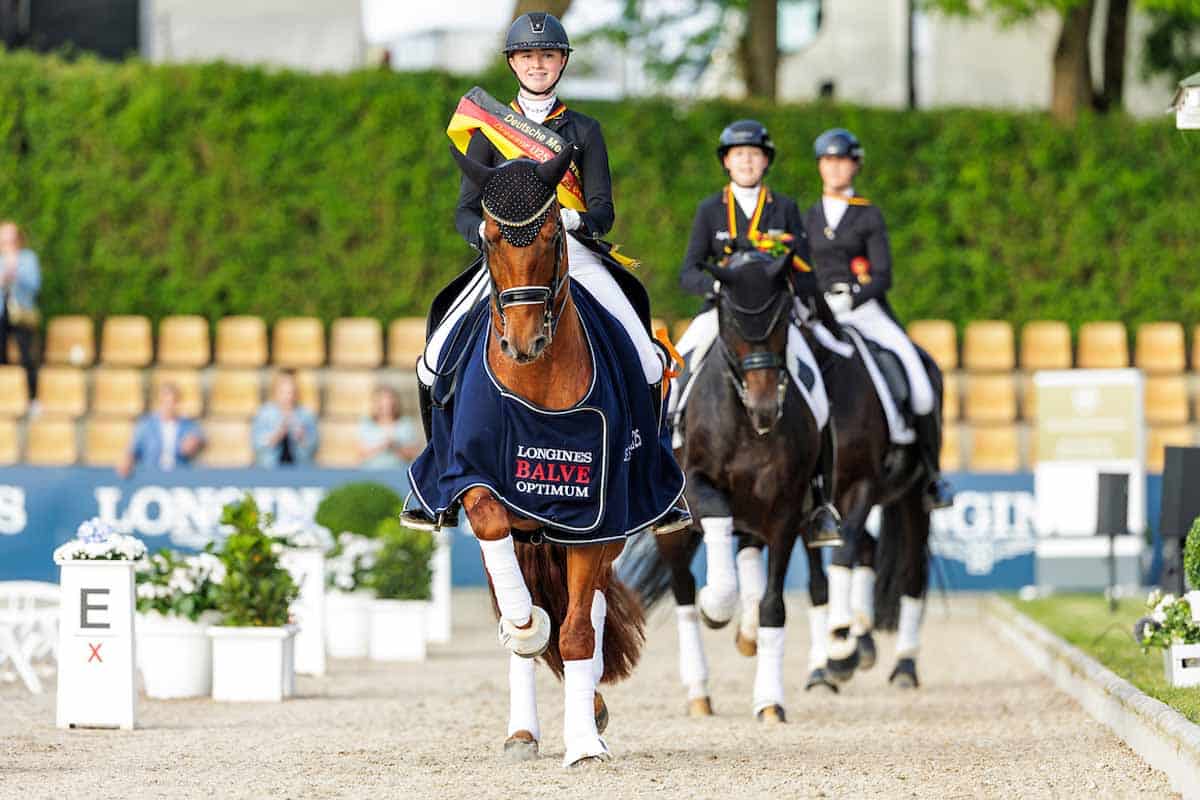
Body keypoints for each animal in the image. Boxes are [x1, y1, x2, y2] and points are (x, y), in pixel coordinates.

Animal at [619, 248, 825, 719]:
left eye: (783, 316)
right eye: (730, 319)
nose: (766, 409)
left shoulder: (786, 511)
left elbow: (772, 605)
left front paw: (770, 701)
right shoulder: (700, 488)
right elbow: (715, 579)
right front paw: (717, 605)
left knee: (746, 557)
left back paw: (746, 636)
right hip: (676, 531)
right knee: (683, 591)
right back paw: (699, 689)